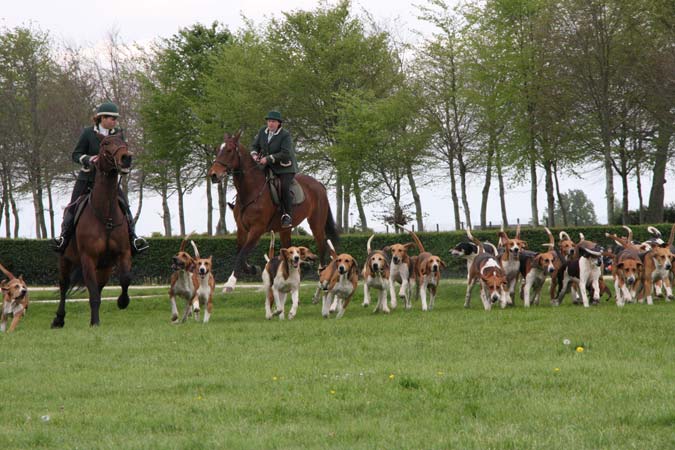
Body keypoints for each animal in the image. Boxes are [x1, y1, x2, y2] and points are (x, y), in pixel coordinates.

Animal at [51, 134, 133, 326]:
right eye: (105, 143)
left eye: (124, 143)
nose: (126, 158)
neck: (106, 215)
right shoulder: (88, 258)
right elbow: (92, 292)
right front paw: (95, 322)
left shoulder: (123, 253)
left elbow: (125, 278)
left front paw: (123, 301)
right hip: (65, 260)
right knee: (64, 285)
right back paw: (59, 319)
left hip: (104, 267)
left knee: (99, 286)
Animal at [206, 130, 338, 292]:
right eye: (218, 149)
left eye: (229, 150)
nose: (213, 175)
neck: (251, 191)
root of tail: (319, 184)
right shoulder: (242, 229)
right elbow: (240, 253)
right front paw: (253, 269)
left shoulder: (257, 229)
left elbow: (242, 254)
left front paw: (230, 283)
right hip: (285, 229)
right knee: (289, 249)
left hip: (316, 223)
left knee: (321, 244)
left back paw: (322, 278)